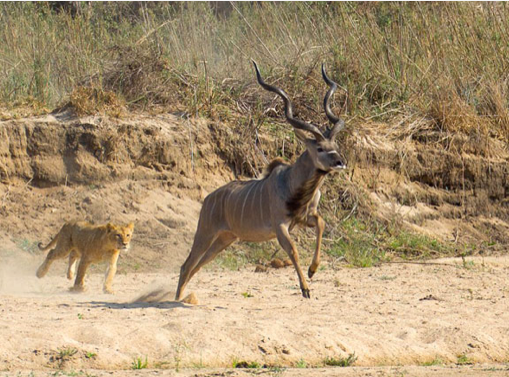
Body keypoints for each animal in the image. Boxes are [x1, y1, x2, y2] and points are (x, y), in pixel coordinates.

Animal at [175, 62, 346, 300]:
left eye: (336, 146)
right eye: (320, 148)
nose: (340, 162)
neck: (292, 184)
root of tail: (208, 199)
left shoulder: (304, 218)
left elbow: (321, 223)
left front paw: (313, 271)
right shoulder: (280, 226)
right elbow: (293, 250)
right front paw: (305, 288)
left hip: (225, 239)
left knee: (197, 265)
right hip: (206, 233)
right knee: (187, 265)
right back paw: (175, 298)